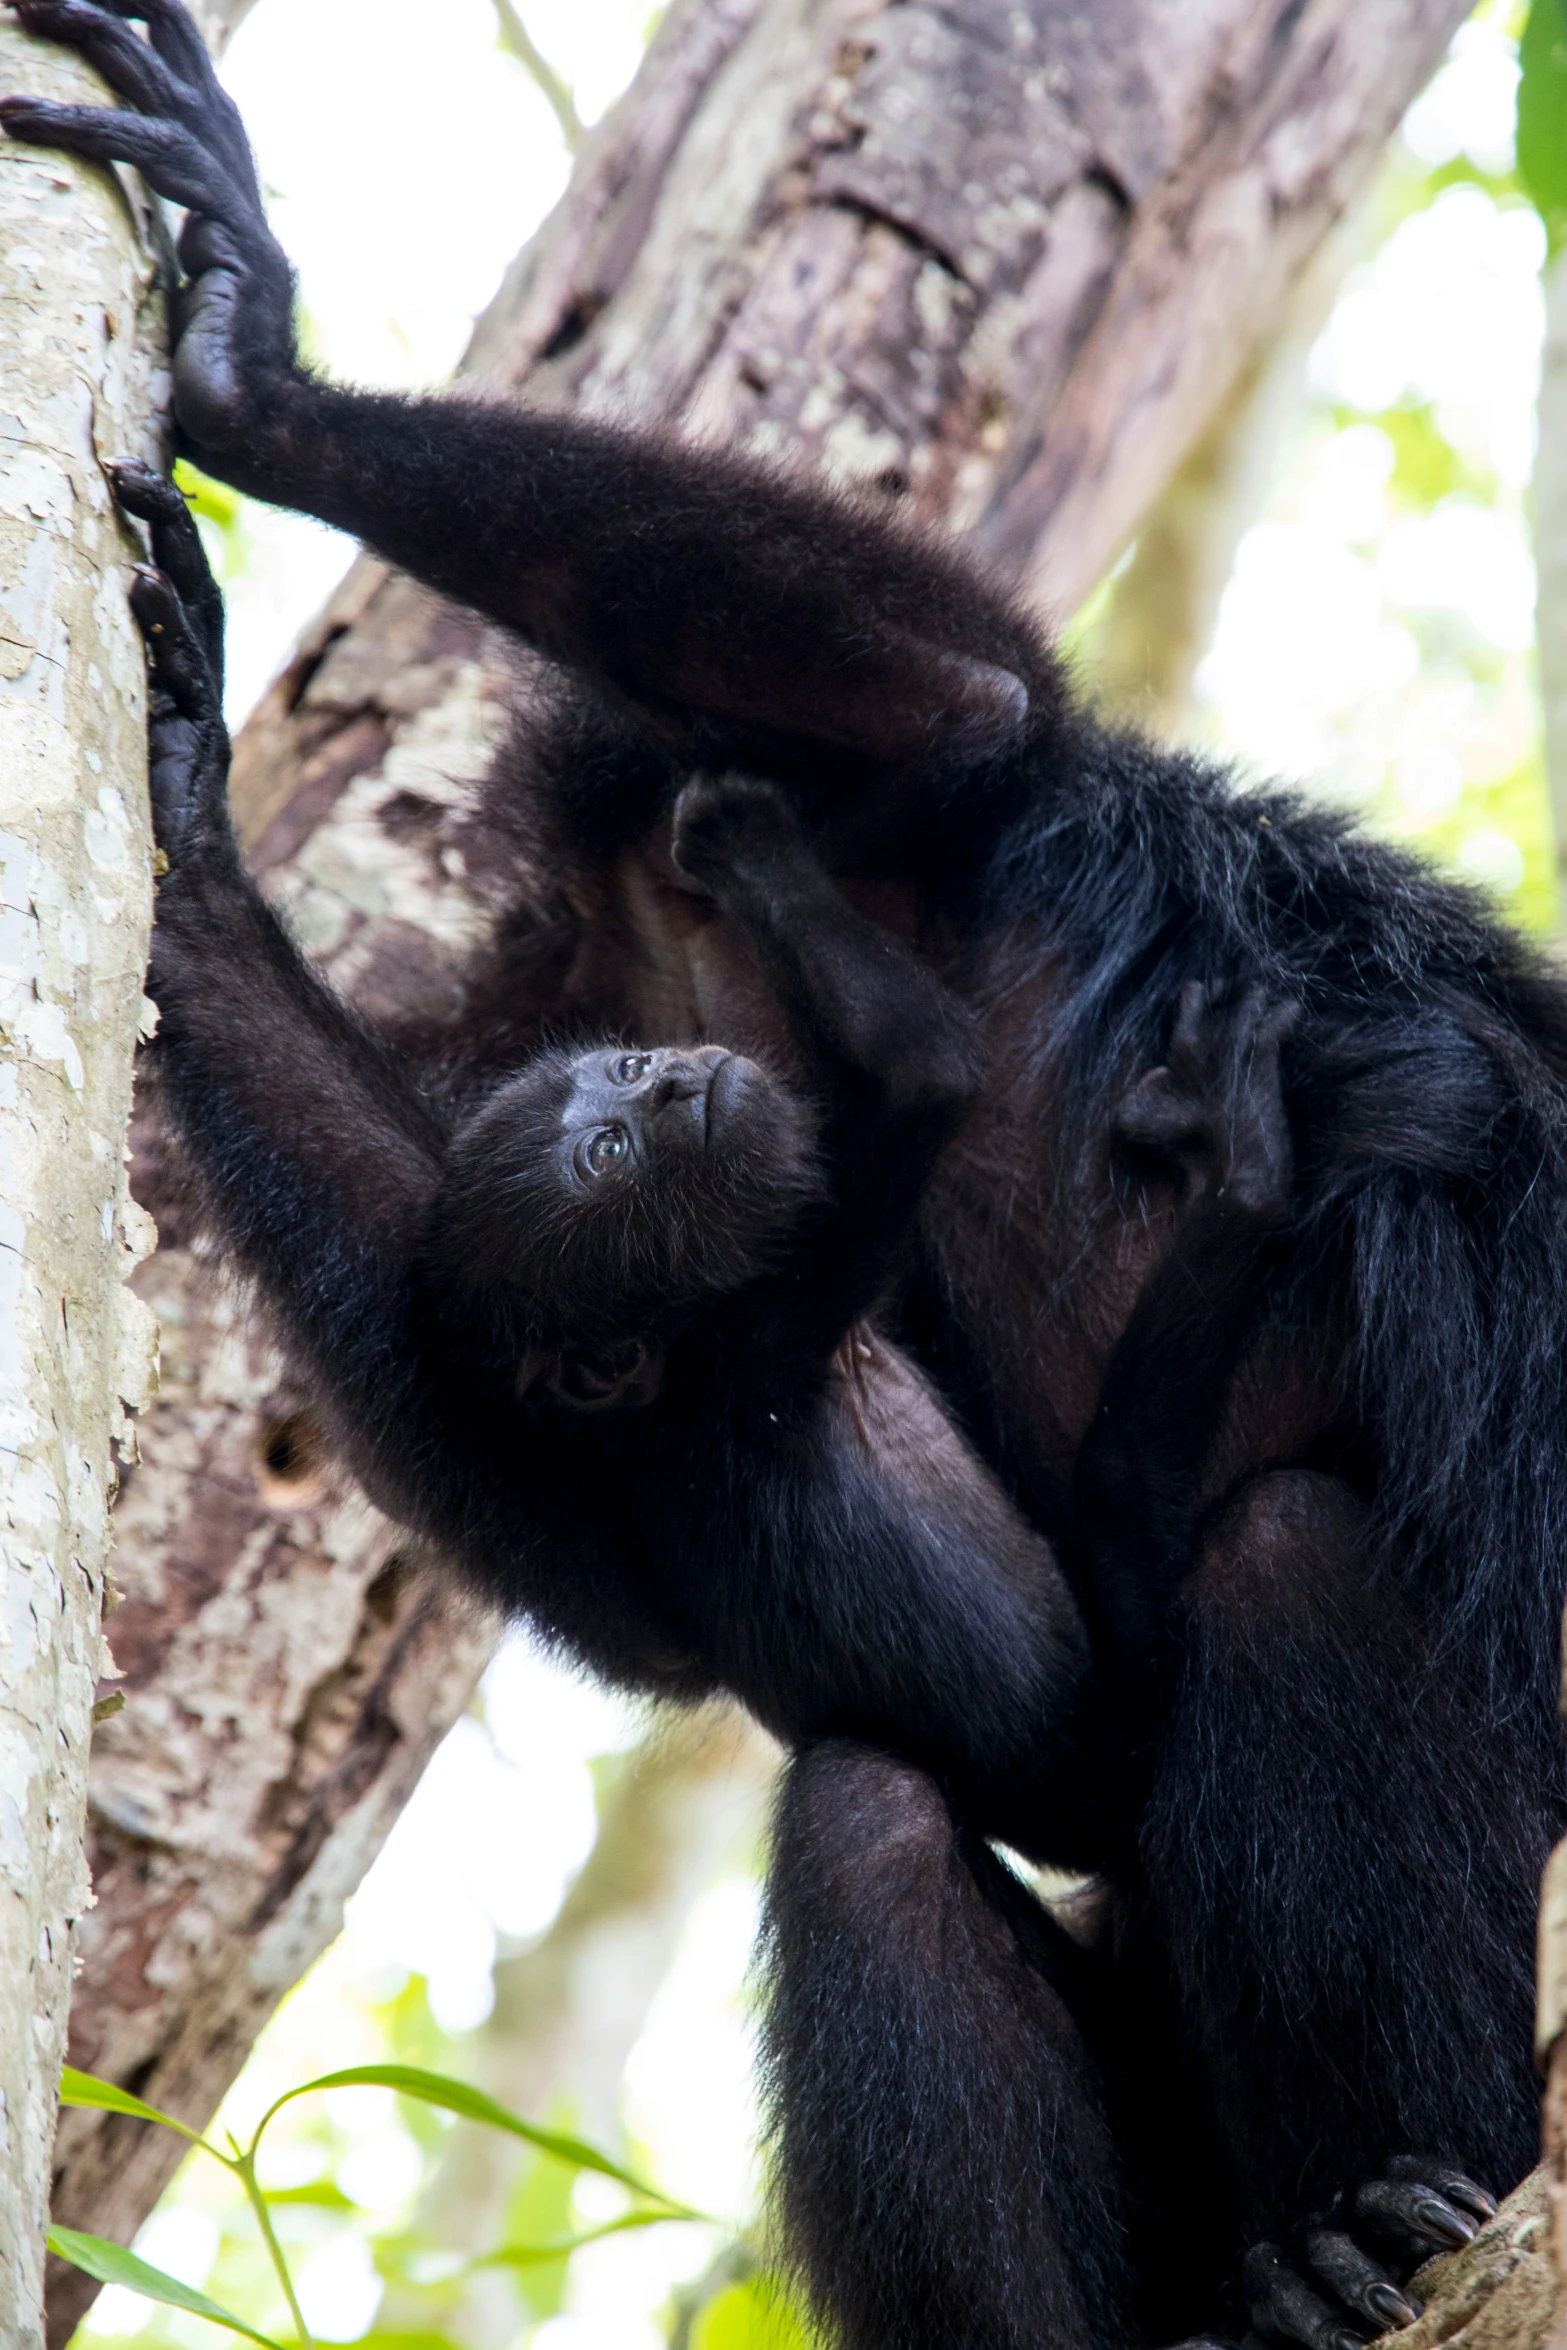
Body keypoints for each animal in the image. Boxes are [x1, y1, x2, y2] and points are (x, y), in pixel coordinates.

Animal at [12, 9, 1567, 2340]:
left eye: (573, 989)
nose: (626, 1059)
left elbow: (957, 703)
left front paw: (256, 369)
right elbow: (675, 1581)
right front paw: (192, 847)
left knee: (1276, 1564)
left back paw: (1381, 2214)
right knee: (895, 1806)